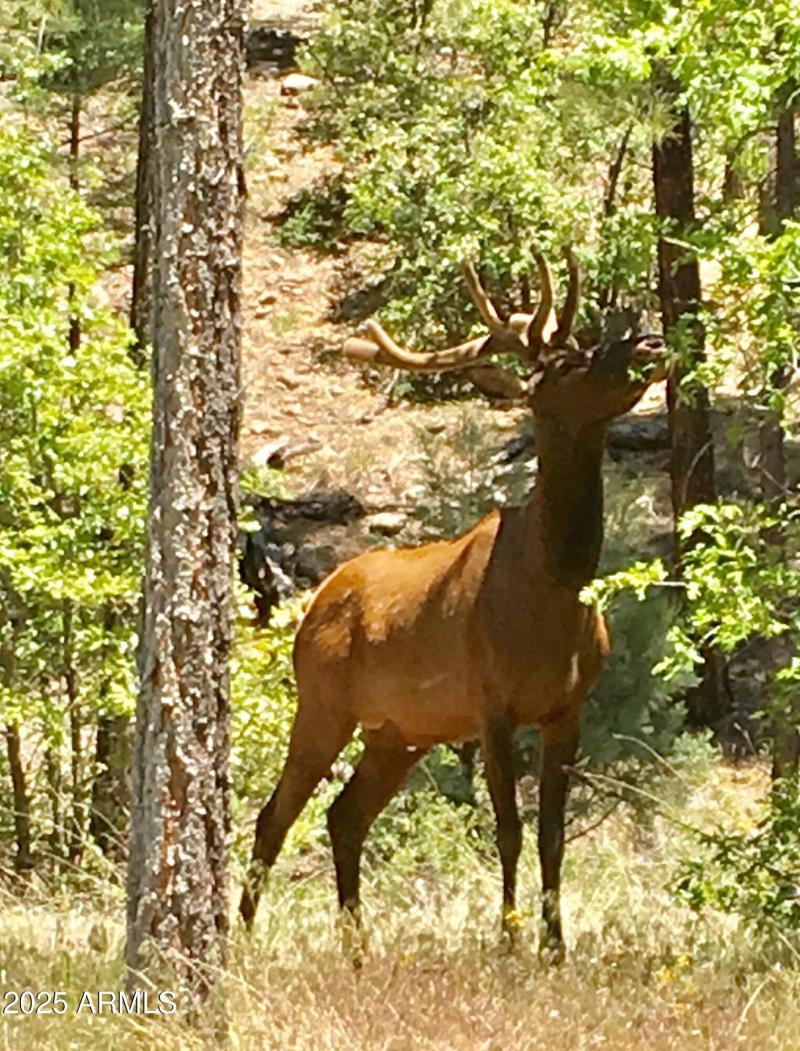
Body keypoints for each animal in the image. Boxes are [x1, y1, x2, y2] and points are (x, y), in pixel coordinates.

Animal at [239, 248, 668, 960]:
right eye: (566, 363)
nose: (652, 341)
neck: (553, 594)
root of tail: (314, 604)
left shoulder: (568, 708)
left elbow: (553, 837)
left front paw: (556, 946)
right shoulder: (491, 703)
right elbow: (509, 829)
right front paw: (509, 941)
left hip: (399, 732)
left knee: (343, 815)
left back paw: (357, 945)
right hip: (322, 702)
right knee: (275, 816)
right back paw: (238, 941)